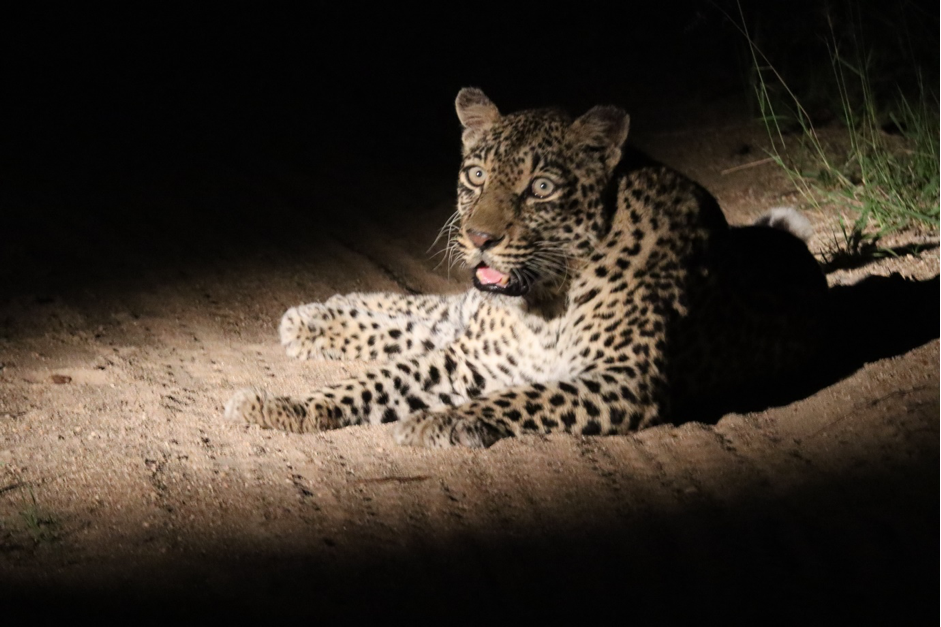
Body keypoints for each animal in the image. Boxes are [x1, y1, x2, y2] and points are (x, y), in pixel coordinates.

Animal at [224, 87, 827, 448]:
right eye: (475, 175)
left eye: (540, 187)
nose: (479, 238)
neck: (545, 298)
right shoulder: (474, 357)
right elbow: (380, 380)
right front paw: (282, 405)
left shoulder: (625, 379)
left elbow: (524, 397)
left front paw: (439, 422)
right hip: (468, 318)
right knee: (432, 311)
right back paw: (310, 321)